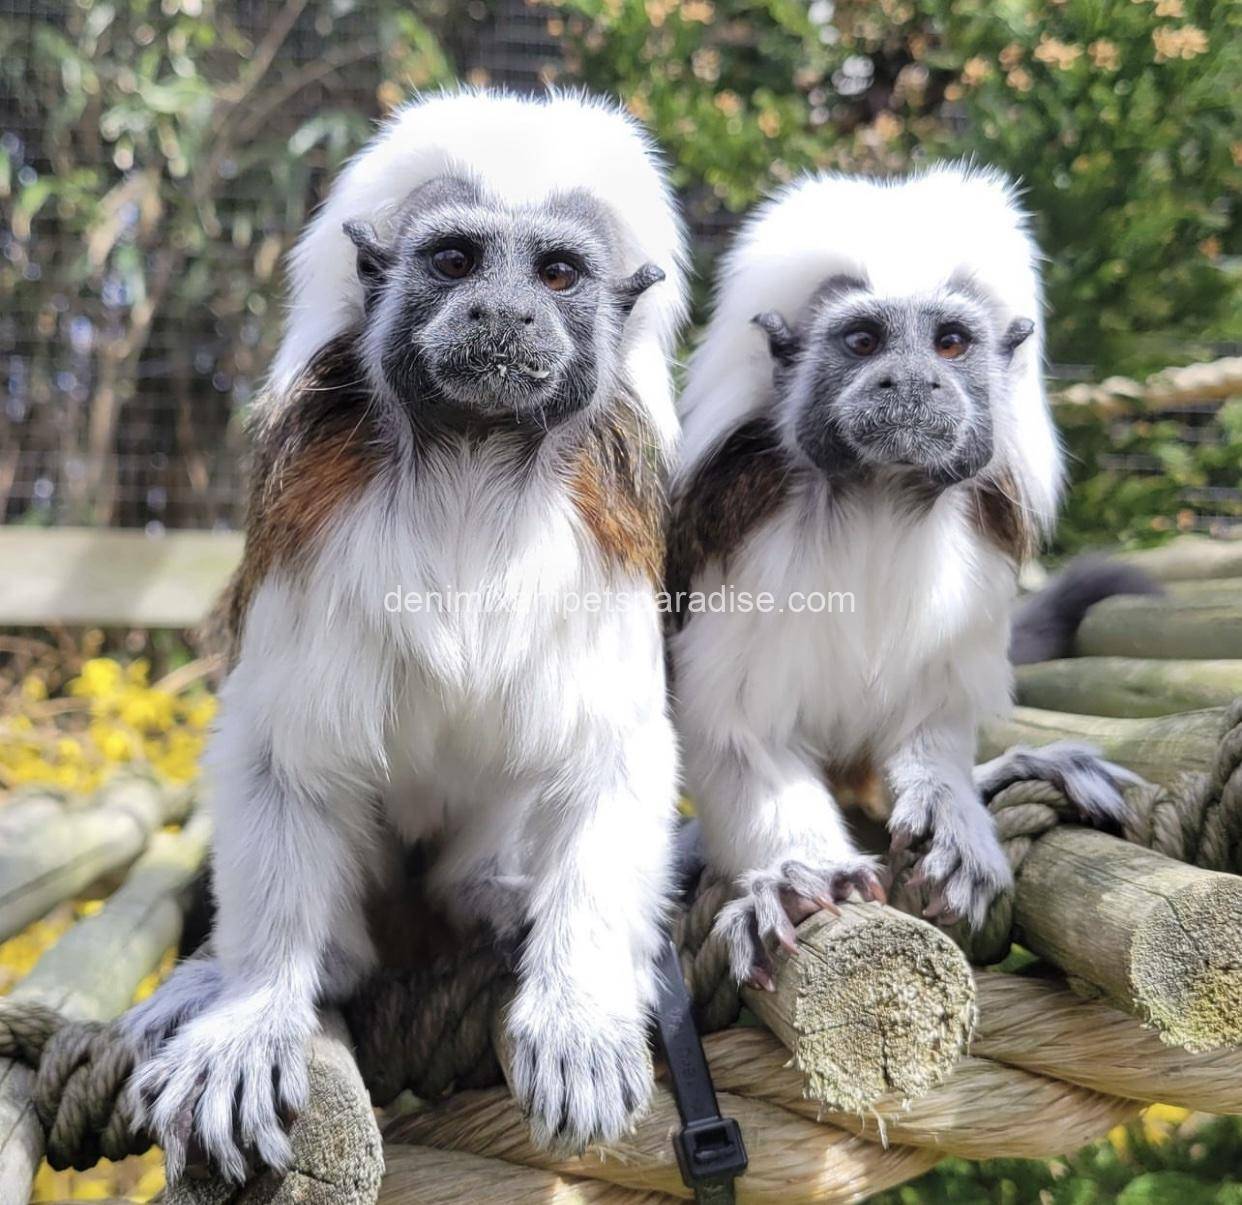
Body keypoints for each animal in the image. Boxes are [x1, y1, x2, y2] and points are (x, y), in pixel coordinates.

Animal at [120, 90, 687, 1182]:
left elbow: (612, 759)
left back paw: (494, 897)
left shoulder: (608, 547)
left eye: (557, 274)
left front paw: (580, 1008)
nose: (504, 313)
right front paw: (254, 1007)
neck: (472, 461)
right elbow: (283, 760)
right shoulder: (312, 528)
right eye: (458, 260)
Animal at [666, 166, 1133, 986]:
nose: (911, 381)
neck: (879, 498)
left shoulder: (977, 553)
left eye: (949, 343)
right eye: (863, 341)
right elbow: (739, 733)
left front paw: (954, 815)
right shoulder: (741, 542)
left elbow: (934, 713)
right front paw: (797, 875)